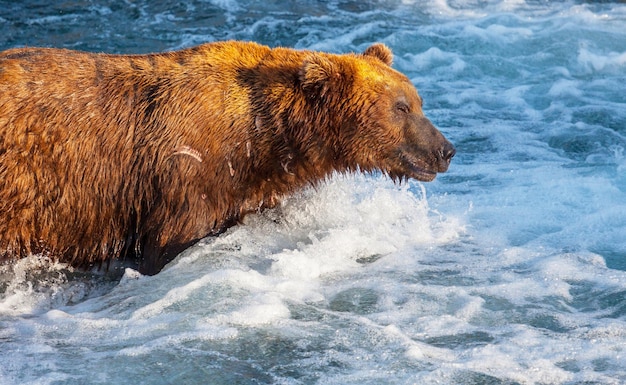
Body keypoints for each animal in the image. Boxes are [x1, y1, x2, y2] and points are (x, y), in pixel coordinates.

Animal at [0, 40, 450, 274]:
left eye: (417, 101)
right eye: (401, 107)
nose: (445, 150)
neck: (263, 138)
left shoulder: (250, 186)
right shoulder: (186, 177)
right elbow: (169, 243)